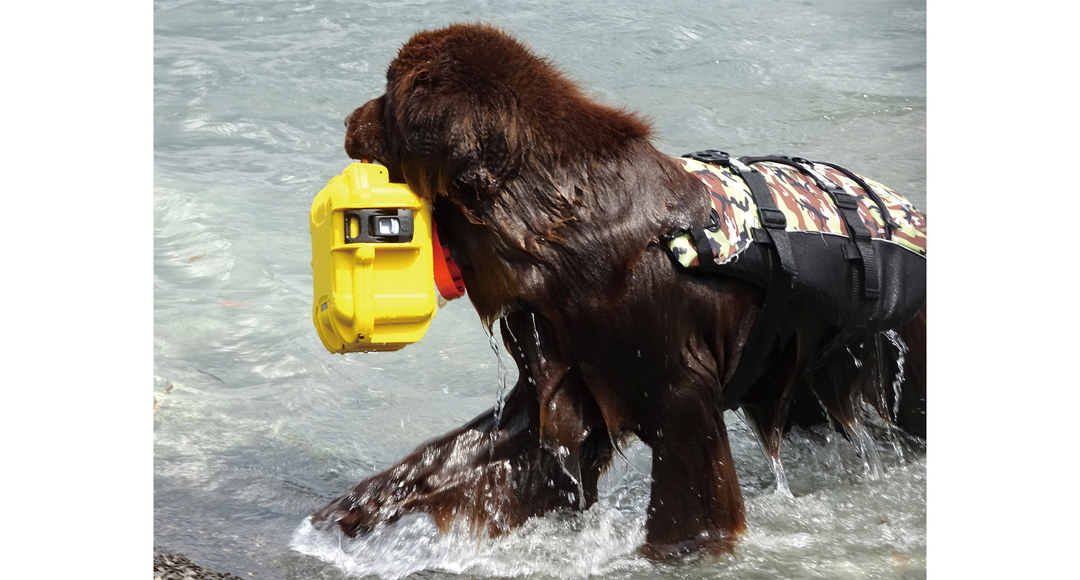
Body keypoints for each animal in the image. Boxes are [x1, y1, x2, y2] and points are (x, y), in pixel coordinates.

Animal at [315, 23, 928, 561]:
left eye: (389, 98)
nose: (345, 118)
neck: (556, 228)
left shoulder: (679, 394)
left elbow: (689, 506)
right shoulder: (557, 369)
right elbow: (476, 454)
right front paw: (352, 510)